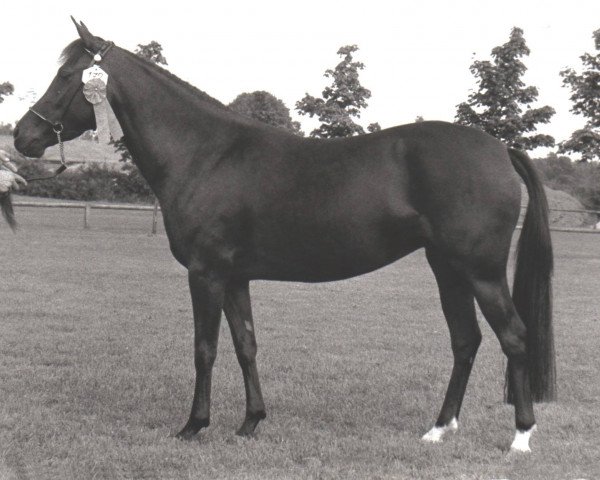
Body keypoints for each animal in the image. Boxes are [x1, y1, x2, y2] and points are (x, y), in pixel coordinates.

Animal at [11, 19, 556, 454]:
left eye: (67, 77)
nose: (21, 136)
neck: (207, 154)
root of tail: (499, 148)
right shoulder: (234, 278)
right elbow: (246, 345)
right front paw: (250, 422)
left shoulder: (206, 275)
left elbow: (204, 348)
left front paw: (193, 425)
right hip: (448, 270)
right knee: (466, 340)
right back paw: (439, 430)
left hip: (482, 272)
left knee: (514, 337)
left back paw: (521, 437)